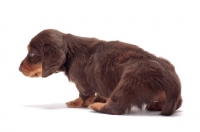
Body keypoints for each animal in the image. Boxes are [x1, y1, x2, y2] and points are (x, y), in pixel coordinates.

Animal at [19, 29, 182, 115]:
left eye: (32, 54)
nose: (19, 69)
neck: (71, 52)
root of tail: (169, 76)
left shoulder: (82, 82)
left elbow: (84, 95)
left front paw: (77, 103)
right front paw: (99, 98)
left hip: (130, 80)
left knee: (117, 106)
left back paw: (97, 106)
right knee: (178, 102)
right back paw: (156, 105)